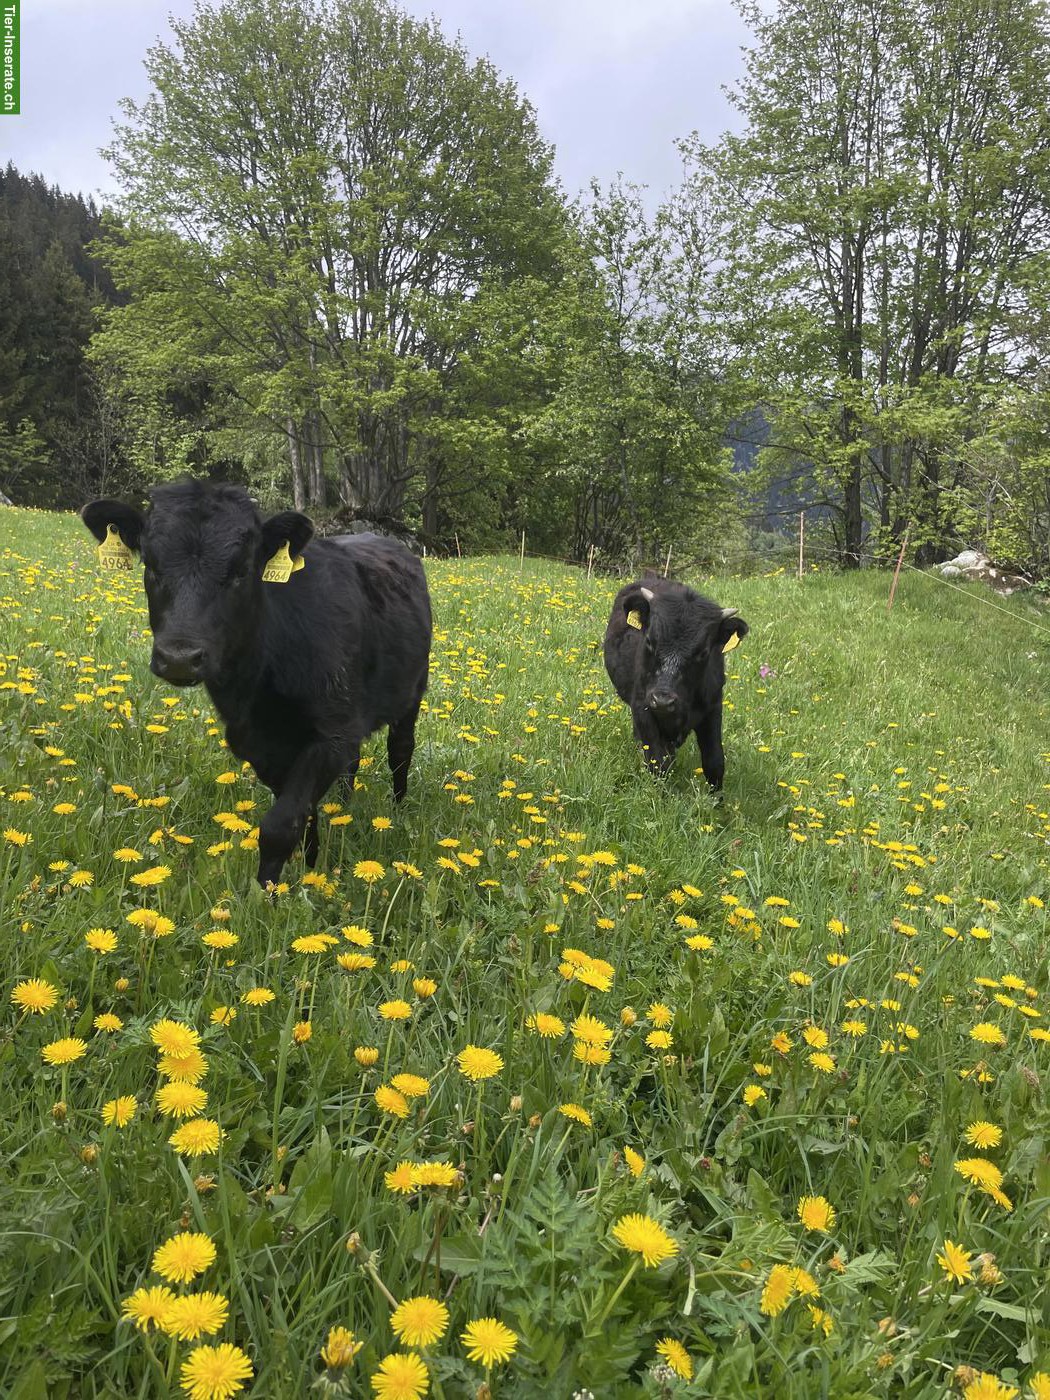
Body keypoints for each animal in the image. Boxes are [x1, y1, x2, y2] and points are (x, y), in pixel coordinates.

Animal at [82, 480, 432, 888]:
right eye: (151, 566)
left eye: (241, 570)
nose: (180, 657)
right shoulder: (259, 744)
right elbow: (302, 813)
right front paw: (308, 867)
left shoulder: (330, 733)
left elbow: (280, 825)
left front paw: (271, 892)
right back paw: (342, 809)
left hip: (411, 692)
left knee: (400, 751)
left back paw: (397, 809)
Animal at [603, 577, 748, 789]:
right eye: (649, 641)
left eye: (703, 652)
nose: (663, 700)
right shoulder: (642, 706)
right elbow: (657, 761)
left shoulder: (713, 708)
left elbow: (714, 762)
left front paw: (716, 799)